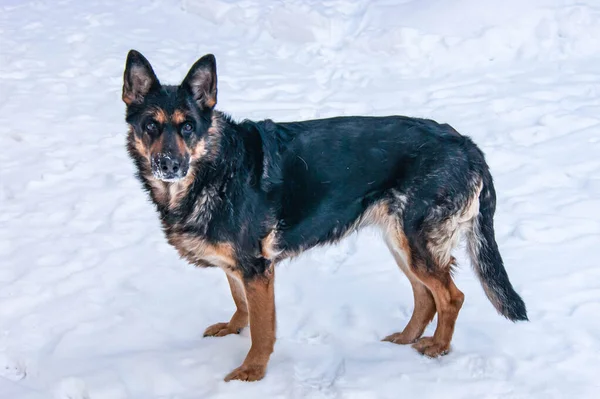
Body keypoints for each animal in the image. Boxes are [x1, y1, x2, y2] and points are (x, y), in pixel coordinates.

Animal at [120, 50, 524, 384]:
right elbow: (240, 301)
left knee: (452, 297)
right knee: (426, 298)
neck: (213, 168)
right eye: (151, 125)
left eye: (188, 126)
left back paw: (437, 348)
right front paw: (235, 327)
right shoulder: (240, 267)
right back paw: (404, 340)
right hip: (401, 241)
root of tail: (466, 144)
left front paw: (252, 372)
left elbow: (262, 329)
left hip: (417, 243)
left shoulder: (257, 269)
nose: (169, 165)